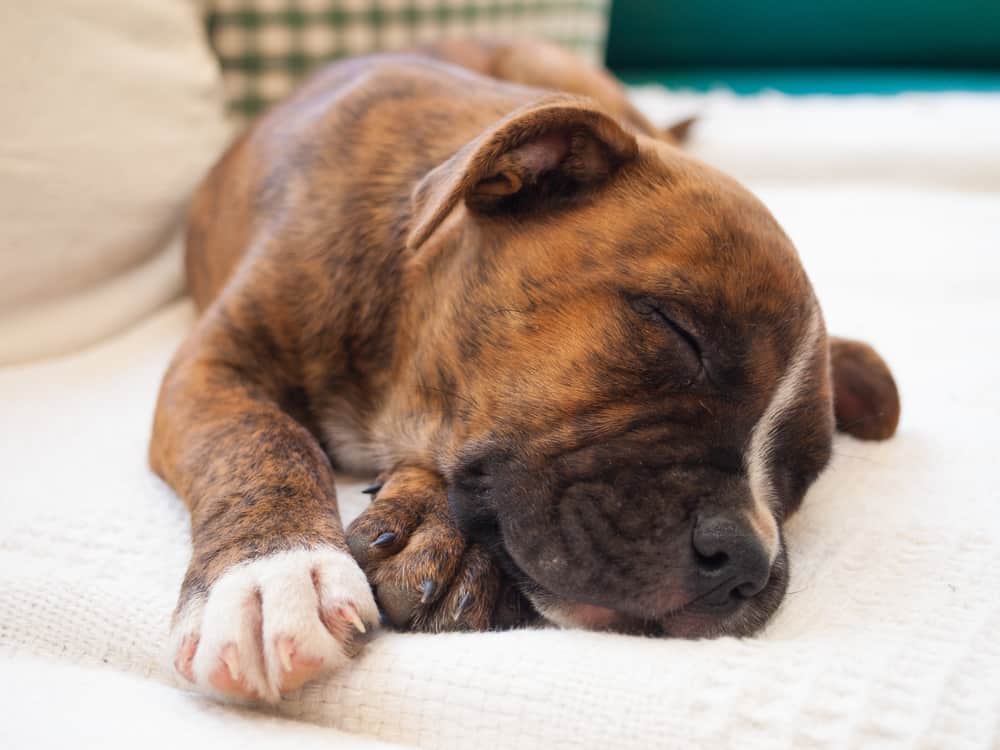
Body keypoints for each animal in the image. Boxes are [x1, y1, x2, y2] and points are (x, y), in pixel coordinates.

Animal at [152, 35, 904, 704]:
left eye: (801, 475)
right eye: (677, 330)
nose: (745, 562)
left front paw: (442, 534)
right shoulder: (213, 365)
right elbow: (261, 443)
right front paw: (272, 577)